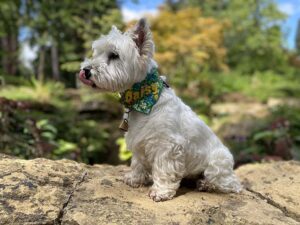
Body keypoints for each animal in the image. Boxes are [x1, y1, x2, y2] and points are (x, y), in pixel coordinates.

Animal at [78, 18, 241, 201]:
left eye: (114, 55)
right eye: (96, 53)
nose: (85, 70)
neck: (143, 98)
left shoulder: (168, 146)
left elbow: (164, 169)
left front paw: (160, 191)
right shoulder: (139, 142)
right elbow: (137, 163)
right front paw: (134, 179)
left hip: (217, 164)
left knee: (231, 184)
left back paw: (206, 184)